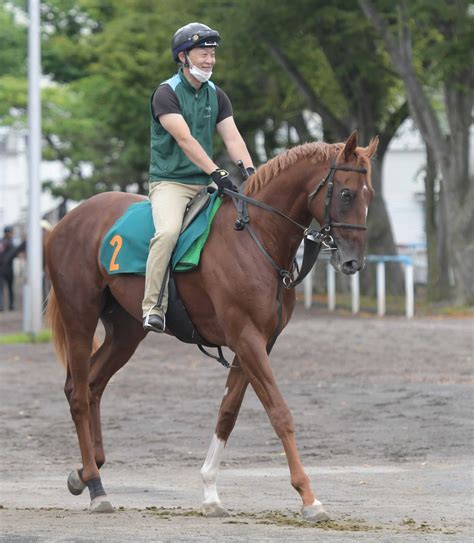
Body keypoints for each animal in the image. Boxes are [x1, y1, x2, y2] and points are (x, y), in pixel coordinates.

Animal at [45, 132, 378, 520]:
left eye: (369, 194)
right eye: (346, 194)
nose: (353, 262)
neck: (256, 237)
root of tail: (67, 221)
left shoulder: (258, 344)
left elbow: (228, 413)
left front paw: (210, 493)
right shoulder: (246, 339)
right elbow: (280, 413)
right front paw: (309, 497)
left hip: (126, 332)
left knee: (93, 386)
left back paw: (85, 472)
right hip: (79, 319)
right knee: (79, 394)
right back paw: (97, 488)